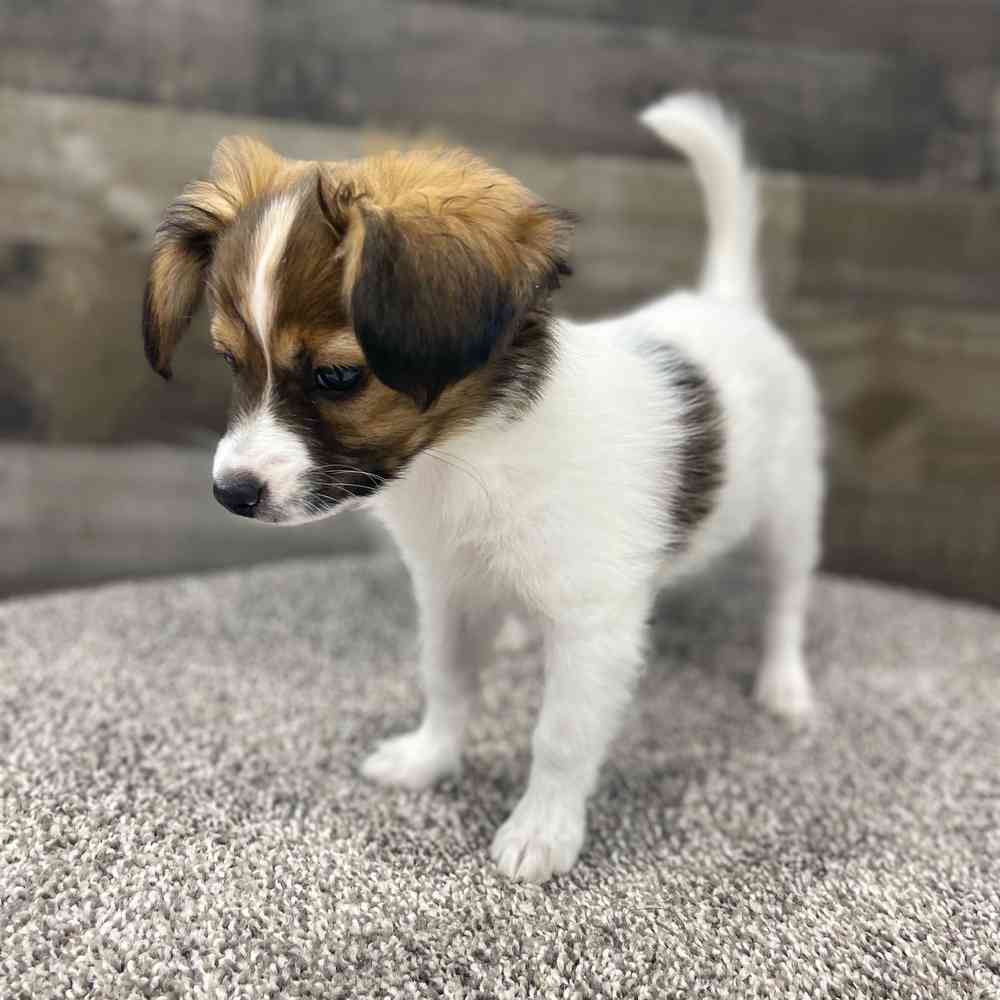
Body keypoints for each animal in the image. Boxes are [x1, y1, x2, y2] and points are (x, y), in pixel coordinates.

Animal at [143, 93, 823, 883]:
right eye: (230, 361)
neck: (466, 456)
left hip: (790, 514)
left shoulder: (594, 627)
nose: (233, 492)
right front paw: (428, 760)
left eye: (338, 377)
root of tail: (727, 304)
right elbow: (447, 682)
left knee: (786, 604)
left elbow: (560, 736)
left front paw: (543, 830)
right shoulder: (449, 590)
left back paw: (785, 684)